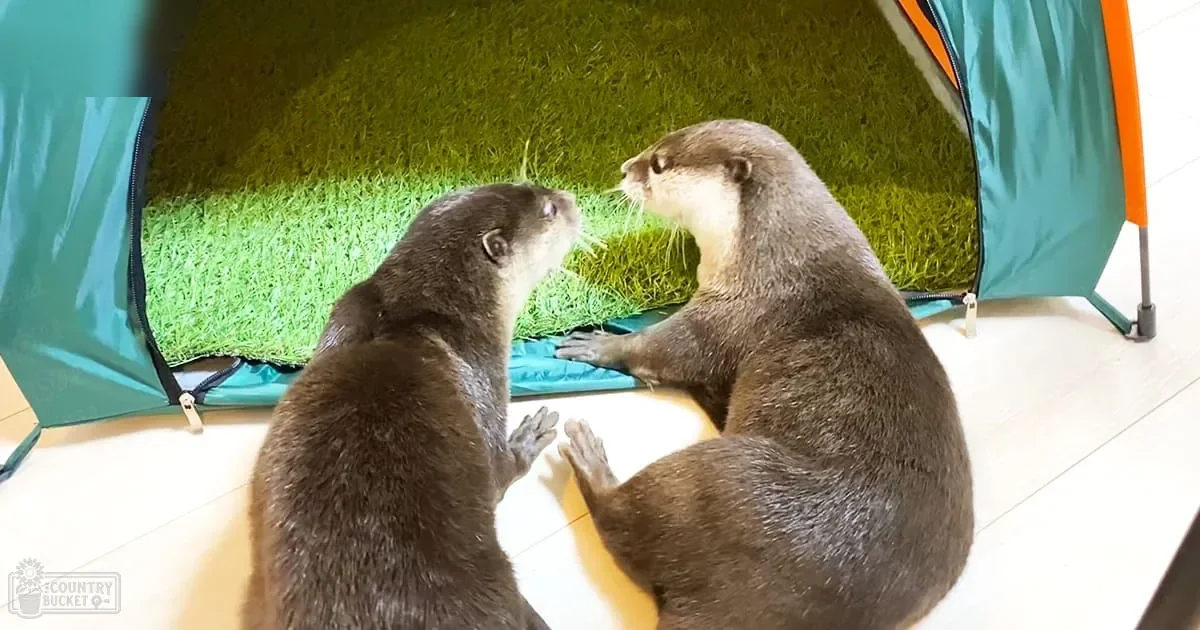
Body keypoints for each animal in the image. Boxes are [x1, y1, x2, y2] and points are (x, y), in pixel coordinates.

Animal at [244, 183, 581, 630]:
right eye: (549, 210)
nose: (570, 197)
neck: (413, 316)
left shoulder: (348, 309)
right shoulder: (486, 375)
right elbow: (500, 473)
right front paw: (528, 436)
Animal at [555, 120, 973, 629]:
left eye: (659, 163)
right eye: (656, 146)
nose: (623, 168)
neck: (774, 258)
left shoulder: (734, 309)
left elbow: (666, 348)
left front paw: (596, 343)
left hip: (719, 478)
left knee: (619, 519)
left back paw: (588, 456)